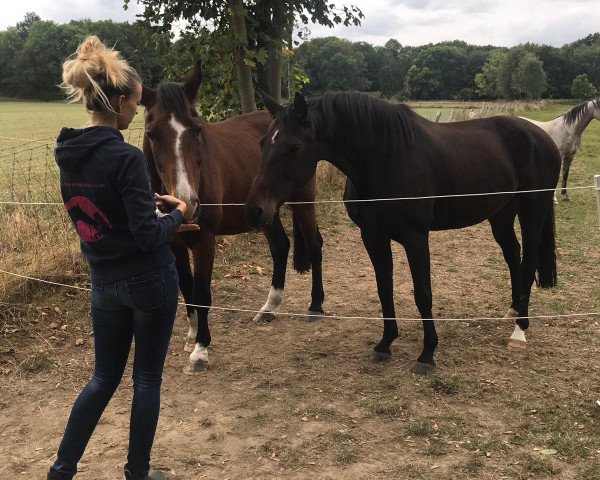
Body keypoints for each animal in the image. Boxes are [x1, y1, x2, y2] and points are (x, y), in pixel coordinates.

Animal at [140, 66, 324, 376]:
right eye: (152, 134)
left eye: (197, 129)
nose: (187, 204)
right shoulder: (174, 243)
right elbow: (186, 288)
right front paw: (191, 335)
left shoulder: (205, 241)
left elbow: (201, 292)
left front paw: (201, 350)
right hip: (265, 212)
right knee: (281, 247)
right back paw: (269, 308)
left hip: (302, 204)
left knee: (314, 244)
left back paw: (316, 306)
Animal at [245, 91, 564, 376]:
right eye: (261, 142)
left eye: (293, 146)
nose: (255, 210)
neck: (385, 157)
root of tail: (543, 137)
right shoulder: (373, 236)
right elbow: (384, 289)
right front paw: (385, 344)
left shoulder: (415, 237)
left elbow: (423, 294)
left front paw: (427, 355)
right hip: (501, 215)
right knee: (513, 257)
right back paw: (513, 311)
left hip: (533, 213)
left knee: (528, 264)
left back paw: (519, 331)